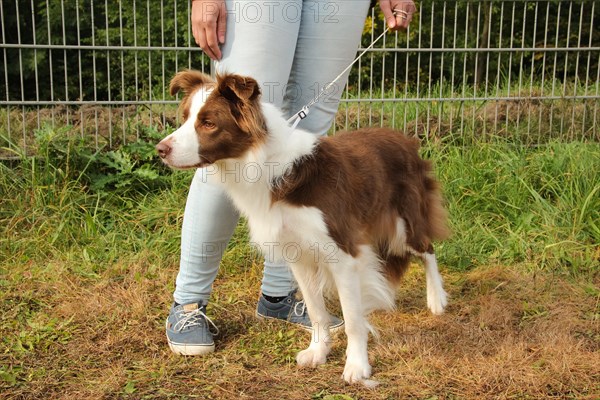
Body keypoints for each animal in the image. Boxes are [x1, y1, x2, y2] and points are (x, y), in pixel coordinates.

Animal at [157, 69, 448, 384]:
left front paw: (357, 366)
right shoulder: (298, 254)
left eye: (208, 123)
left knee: (428, 249)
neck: (268, 166)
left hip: (403, 224)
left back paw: (437, 300)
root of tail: (405, 138)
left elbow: (353, 320)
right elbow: (316, 311)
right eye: (185, 117)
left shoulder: (342, 253)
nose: (160, 150)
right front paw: (319, 352)